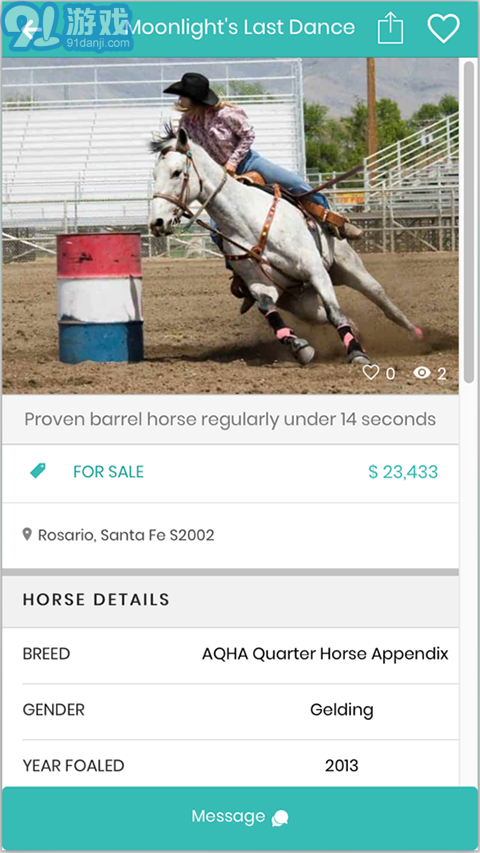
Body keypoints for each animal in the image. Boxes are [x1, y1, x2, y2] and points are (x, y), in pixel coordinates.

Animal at [149, 126, 423, 366]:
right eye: (154, 175)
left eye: (176, 172)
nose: (157, 222)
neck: (248, 222)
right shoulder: (260, 285)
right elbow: (268, 308)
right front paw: (299, 347)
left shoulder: (315, 270)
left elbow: (335, 312)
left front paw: (357, 353)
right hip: (301, 302)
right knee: (329, 315)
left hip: (349, 269)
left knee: (379, 298)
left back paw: (416, 334)